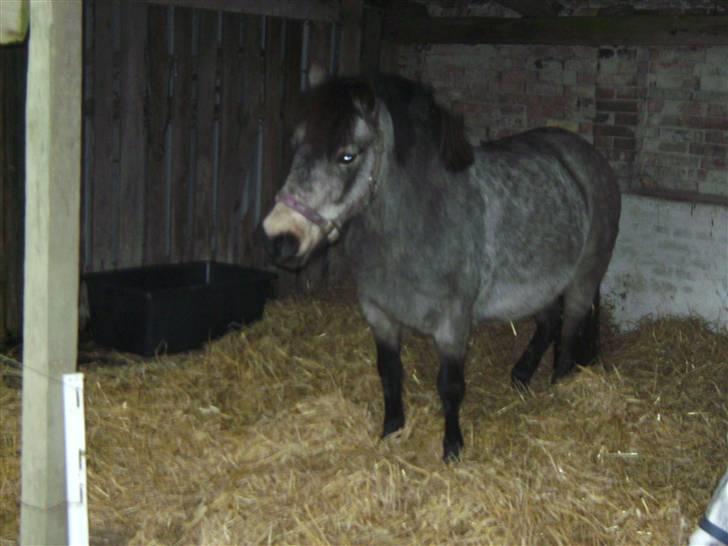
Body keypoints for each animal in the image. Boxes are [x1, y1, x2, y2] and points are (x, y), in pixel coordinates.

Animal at [260, 72, 621, 461]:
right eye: (297, 145)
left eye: (347, 155)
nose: (280, 238)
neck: (419, 221)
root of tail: (590, 159)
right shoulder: (379, 314)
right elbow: (389, 373)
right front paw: (391, 430)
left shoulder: (453, 324)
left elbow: (450, 386)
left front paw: (452, 448)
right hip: (540, 285)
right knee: (548, 321)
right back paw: (522, 374)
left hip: (582, 281)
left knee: (568, 333)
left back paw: (558, 388)